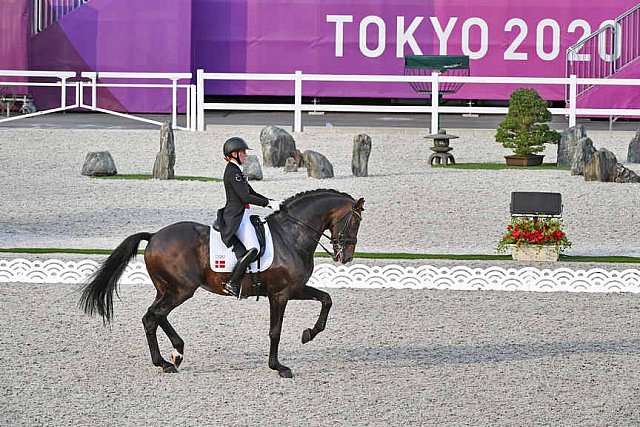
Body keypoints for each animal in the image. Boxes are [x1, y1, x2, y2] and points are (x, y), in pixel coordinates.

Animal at [79, 189, 364, 380]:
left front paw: (309, 334)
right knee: (152, 317)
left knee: (155, 316)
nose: (346, 257)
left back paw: (176, 352)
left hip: (168, 289)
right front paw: (279, 367)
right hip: (181, 290)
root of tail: (154, 236)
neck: (291, 235)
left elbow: (326, 299)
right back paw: (165, 361)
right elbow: (275, 331)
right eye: (356, 221)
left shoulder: (293, 290)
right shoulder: (280, 294)